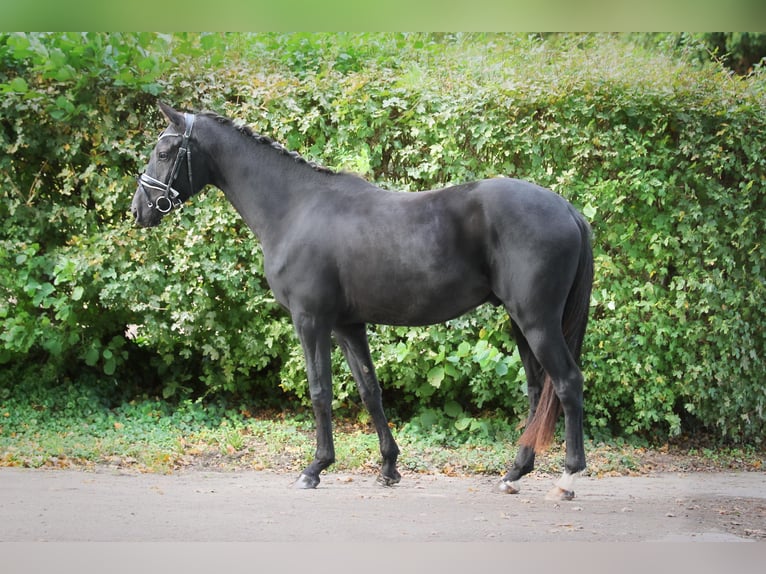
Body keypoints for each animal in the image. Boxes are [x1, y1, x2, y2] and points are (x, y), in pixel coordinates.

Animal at [132, 103, 592, 504]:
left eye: (164, 151)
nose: (139, 210)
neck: (296, 208)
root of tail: (568, 209)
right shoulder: (346, 326)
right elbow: (370, 390)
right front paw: (388, 467)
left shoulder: (310, 320)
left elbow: (320, 390)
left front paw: (315, 468)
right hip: (521, 322)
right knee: (537, 389)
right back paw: (515, 473)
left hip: (536, 322)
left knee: (567, 382)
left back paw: (567, 478)